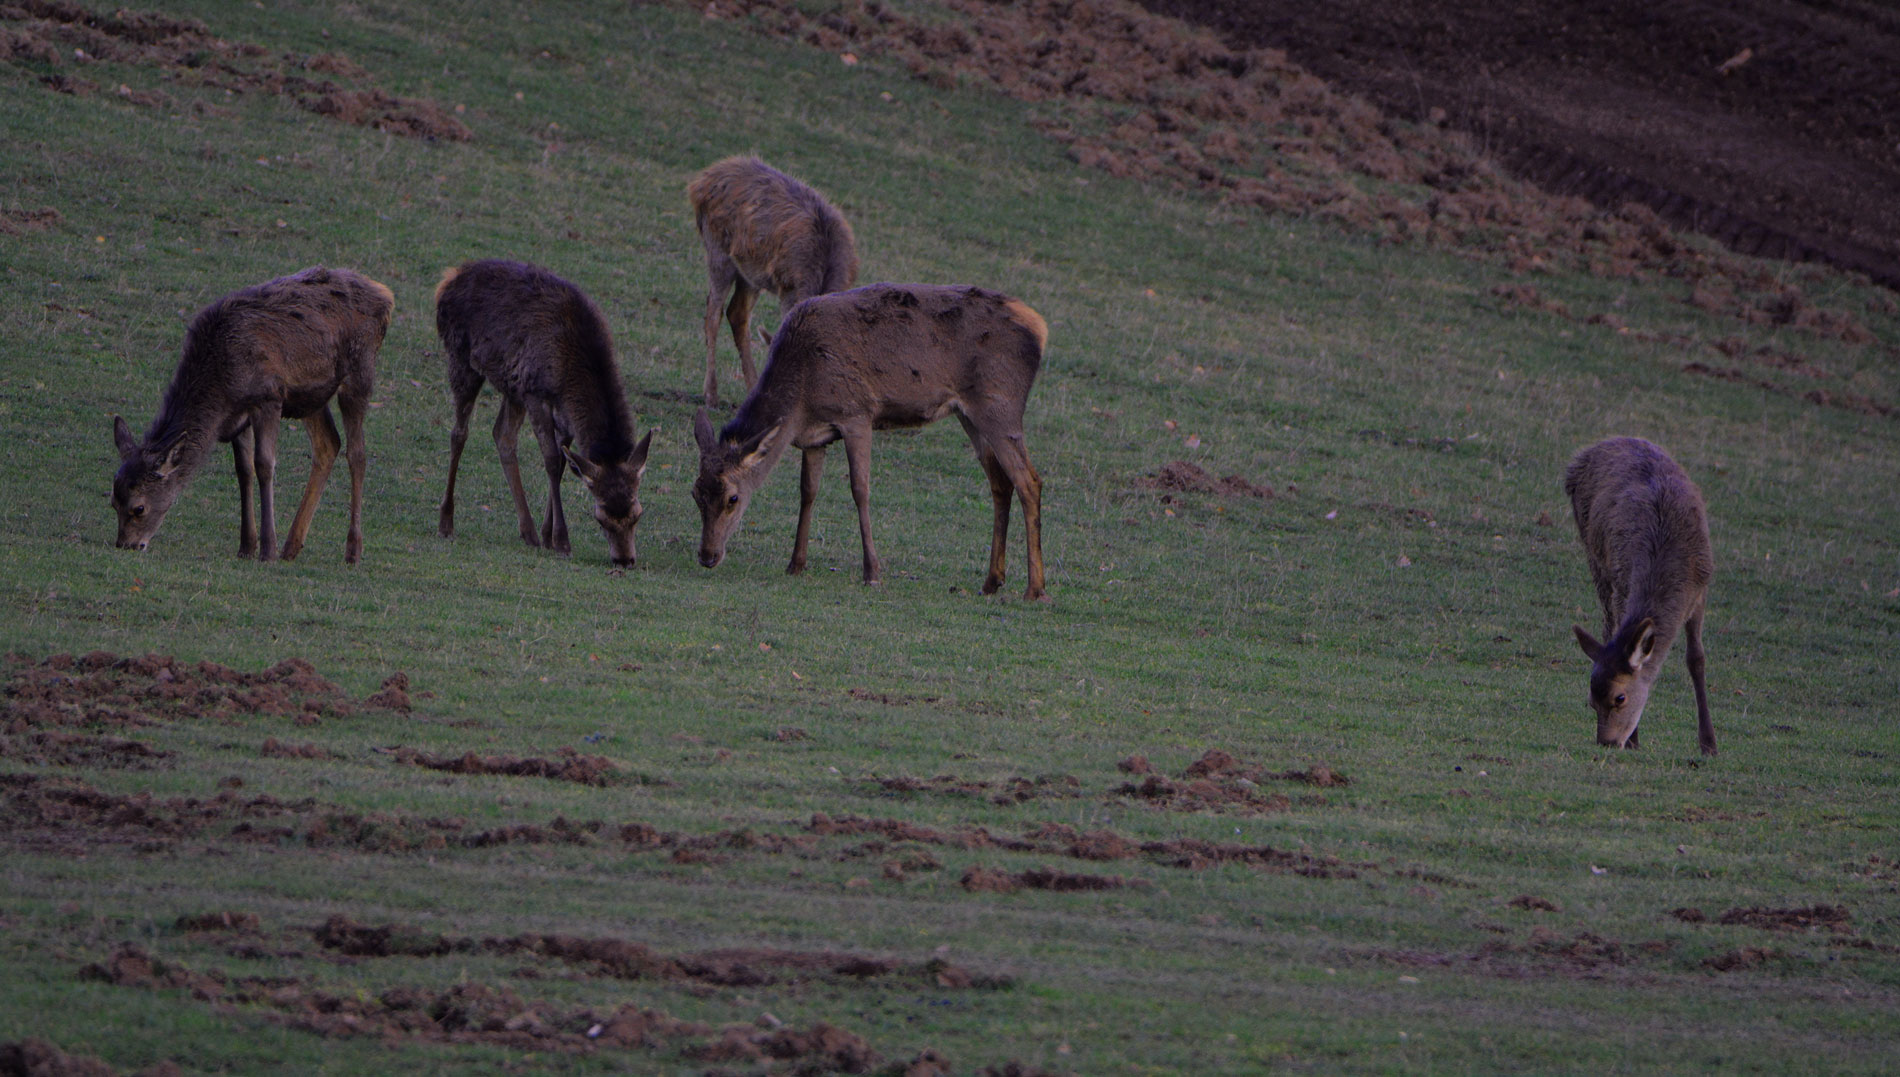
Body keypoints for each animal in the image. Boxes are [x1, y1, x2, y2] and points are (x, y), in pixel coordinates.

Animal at [108, 265, 393, 566]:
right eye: (113, 501)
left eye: (139, 507)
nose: (126, 544)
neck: (222, 385)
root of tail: (386, 296)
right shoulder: (238, 417)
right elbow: (243, 470)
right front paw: (246, 546)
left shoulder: (268, 397)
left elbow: (264, 465)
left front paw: (267, 549)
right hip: (311, 397)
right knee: (328, 443)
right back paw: (291, 546)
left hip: (360, 370)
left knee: (357, 453)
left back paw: (352, 550)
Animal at [435, 260, 657, 569]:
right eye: (600, 518)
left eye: (638, 514)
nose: (624, 560)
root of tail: (448, 279)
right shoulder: (536, 395)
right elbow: (552, 461)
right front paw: (561, 540)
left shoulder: (562, 413)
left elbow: (564, 463)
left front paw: (546, 533)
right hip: (462, 356)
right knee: (459, 433)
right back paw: (446, 522)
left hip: (512, 386)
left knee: (502, 435)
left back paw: (528, 531)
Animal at [687, 151, 858, 404]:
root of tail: (700, 181)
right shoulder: (787, 285)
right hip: (718, 250)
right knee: (713, 313)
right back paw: (711, 393)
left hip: (750, 272)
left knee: (737, 313)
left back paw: (749, 386)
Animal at [691, 283, 1048, 604]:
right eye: (695, 493)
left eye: (733, 498)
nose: (707, 556)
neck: (802, 397)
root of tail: (1040, 328)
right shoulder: (814, 437)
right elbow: (808, 492)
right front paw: (796, 563)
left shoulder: (857, 413)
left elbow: (860, 490)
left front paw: (872, 572)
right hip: (969, 414)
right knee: (1001, 483)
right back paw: (992, 581)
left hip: (1000, 405)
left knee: (1029, 480)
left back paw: (1035, 590)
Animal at [1565, 434, 1717, 755]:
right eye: (1591, 702)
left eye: (1620, 698)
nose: (1608, 742)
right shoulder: (1623, 582)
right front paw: (1635, 739)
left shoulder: (1701, 590)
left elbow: (1696, 658)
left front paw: (1709, 743)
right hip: (1595, 557)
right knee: (1607, 625)